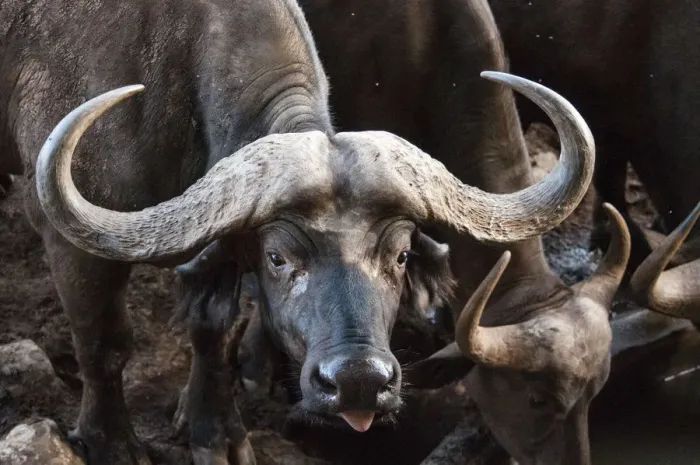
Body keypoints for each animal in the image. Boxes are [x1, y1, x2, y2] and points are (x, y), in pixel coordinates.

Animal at [0, 0, 593, 463]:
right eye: (279, 257)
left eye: (400, 256)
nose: (359, 382)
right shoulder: (72, 245)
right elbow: (103, 344)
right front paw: (112, 444)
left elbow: (212, 328)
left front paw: (215, 432)